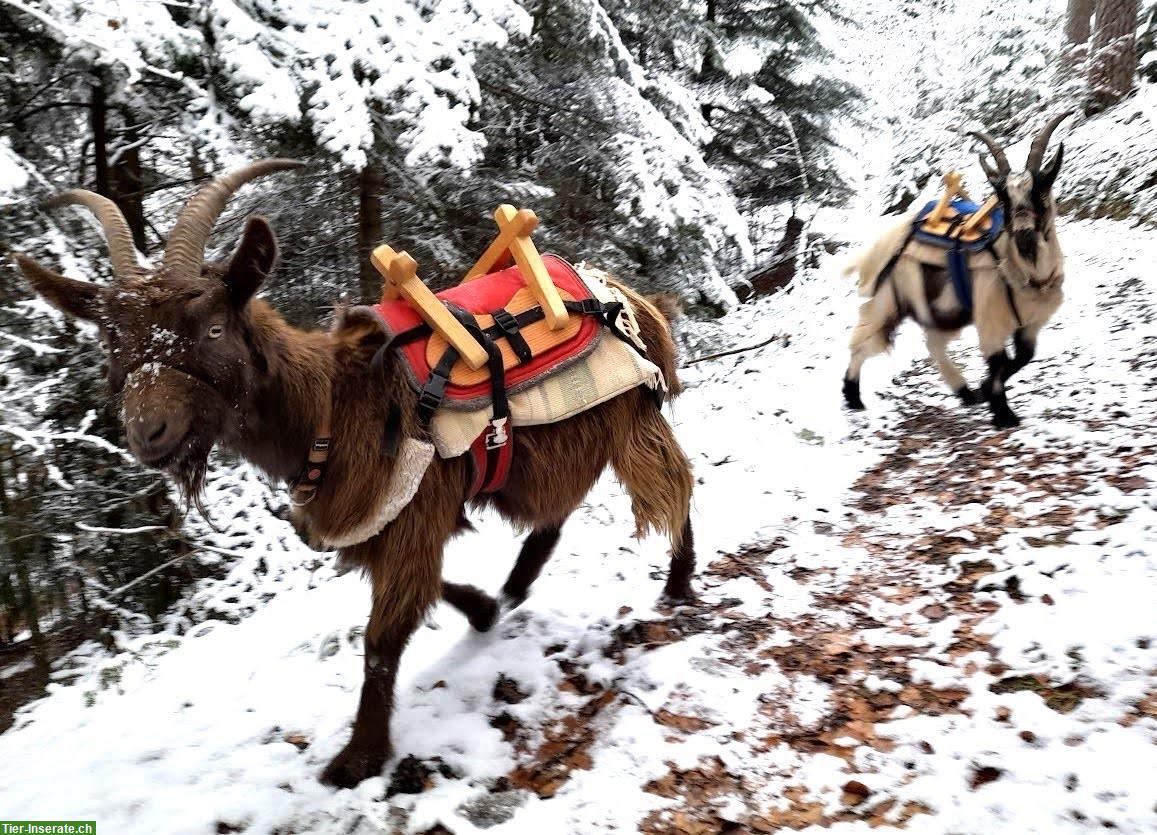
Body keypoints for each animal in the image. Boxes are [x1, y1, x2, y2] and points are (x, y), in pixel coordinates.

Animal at [14, 161, 696, 787]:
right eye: (114, 346)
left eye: (212, 326)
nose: (149, 433)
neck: (333, 407)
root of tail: (629, 295)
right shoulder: (382, 518)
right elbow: (426, 586)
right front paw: (481, 610)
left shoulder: (412, 507)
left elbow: (380, 640)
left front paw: (357, 758)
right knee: (554, 516)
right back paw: (516, 585)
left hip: (630, 417)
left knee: (676, 489)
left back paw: (679, 585)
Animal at [842, 112, 1071, 428]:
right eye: (1002, 198)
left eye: (1040, 191)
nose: (1024, 235)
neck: (1025, 273)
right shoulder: (990, 318)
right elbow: (999, 361)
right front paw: (1003, 414)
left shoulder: (1031, 322)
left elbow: (1022, 357)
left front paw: (985, 392)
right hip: (889, 300)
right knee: (864, 340)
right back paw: (852, 396)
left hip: (940, 310)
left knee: (934, 344)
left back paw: (964, 391)